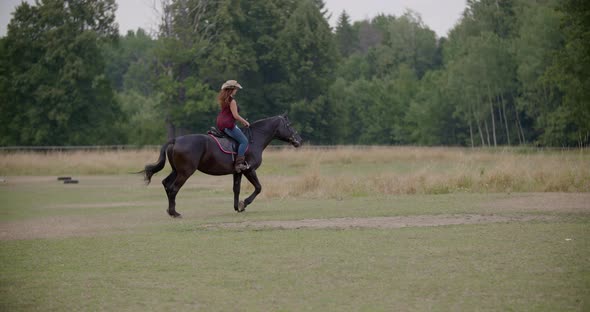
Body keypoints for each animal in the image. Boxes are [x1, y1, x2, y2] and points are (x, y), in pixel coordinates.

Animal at [142, 113, 302, 218]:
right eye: (289, 125)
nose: (299, 140)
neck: (254, 140)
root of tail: (175, 140)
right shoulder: (249, 170)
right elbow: (258, 188)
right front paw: (244, 203)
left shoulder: (237, 172)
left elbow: (236, 189)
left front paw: (237, 207)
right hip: (185, 172)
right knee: (173, 188)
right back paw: (174, 213)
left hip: (177, 171)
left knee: (167, 184)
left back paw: (170, 211)